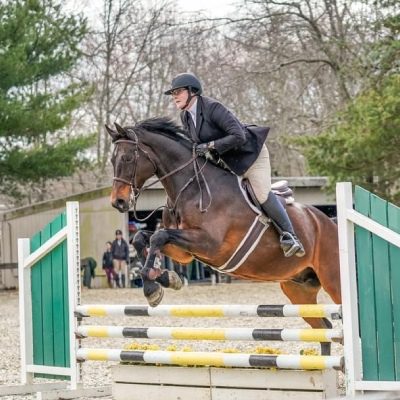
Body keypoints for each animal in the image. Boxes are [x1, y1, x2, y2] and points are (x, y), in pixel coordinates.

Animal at [106, 117, 340, 354]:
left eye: (127, 158)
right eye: (112, 160)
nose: (118, 202)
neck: (191, 188)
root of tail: (329, 223)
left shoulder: (211, 245)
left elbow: (158, 237)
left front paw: (152, 288)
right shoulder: (184, 252)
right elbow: (143, 238)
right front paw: (166, 279)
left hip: (333, 281)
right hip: (298, 288)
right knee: (324, 329)